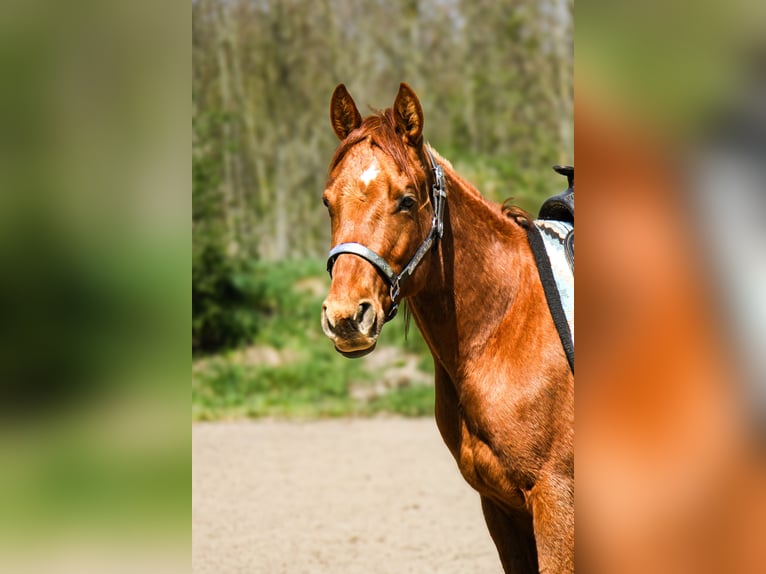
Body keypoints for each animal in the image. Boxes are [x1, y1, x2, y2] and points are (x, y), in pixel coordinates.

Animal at [320, 83, 574, 574]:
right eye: (328, 202)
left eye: (405, 200)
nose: (345, 317)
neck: (505, 324)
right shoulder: (502, 508)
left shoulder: (558, 502)